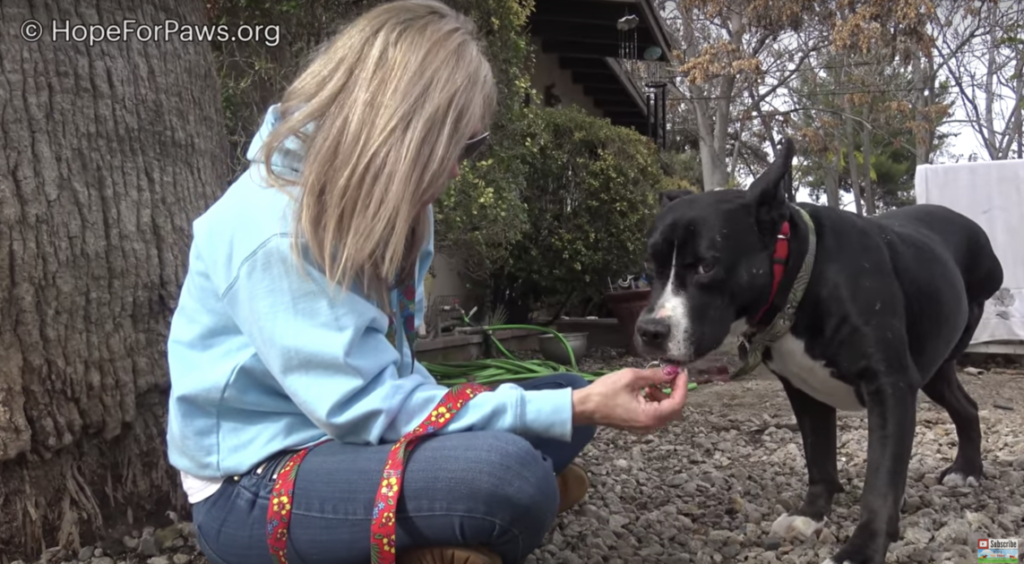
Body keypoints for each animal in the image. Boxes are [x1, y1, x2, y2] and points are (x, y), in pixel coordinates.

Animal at [634, 138, 1003, 564]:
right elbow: (820, 456)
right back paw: (966, 467)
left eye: (706, 266)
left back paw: (967, 469)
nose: (650, 331)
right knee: (966, 406)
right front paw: (811, 515)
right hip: (935, 372)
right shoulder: (805, 391)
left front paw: (863, 548)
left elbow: (880, 481)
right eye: (650, 265)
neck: (799, 278)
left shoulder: (890, 388)